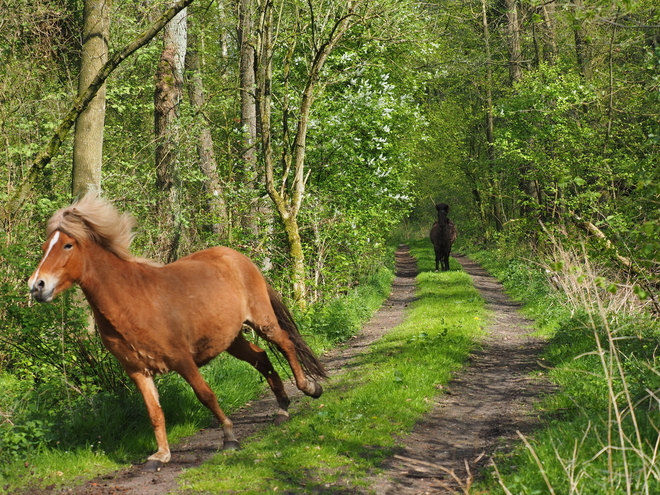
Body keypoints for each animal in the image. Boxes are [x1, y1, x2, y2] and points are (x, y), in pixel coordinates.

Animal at [29, 195, 328, 472]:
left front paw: (229, 438)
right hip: (231, 339)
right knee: (262, 358)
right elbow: (154, 412)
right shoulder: (137, 370)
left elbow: (205, 395)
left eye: (68, 245)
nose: (36, 286)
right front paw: (160, 455)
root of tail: (237, 256)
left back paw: (309, 388)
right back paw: (282, 408)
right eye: (45, 247)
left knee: (286, 344)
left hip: (262, 322)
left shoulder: (182, 359)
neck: (132, 300)